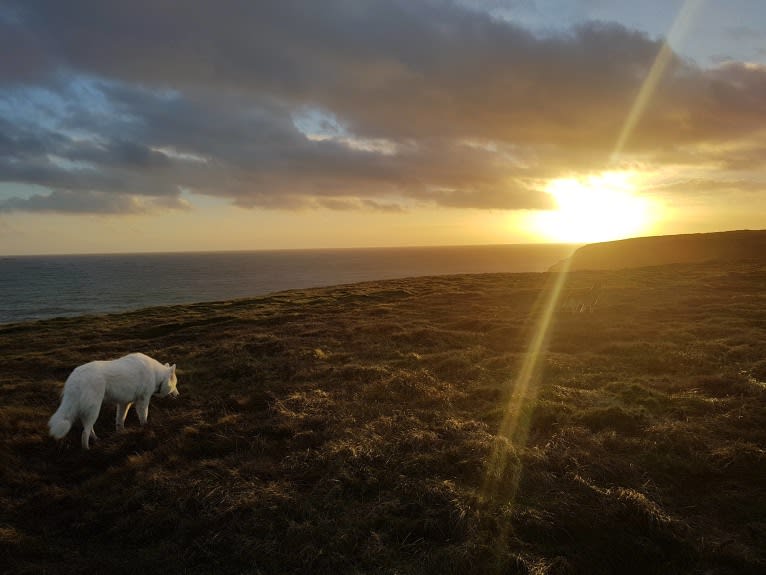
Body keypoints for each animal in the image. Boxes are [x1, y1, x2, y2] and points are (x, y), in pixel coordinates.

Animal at [48, 352, 180, 450]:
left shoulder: (124, 403)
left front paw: (120, 434)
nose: (179, 395)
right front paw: (146, 428)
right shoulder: (143, 401)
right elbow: (144, 417)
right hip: (94, 410)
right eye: (176, 385)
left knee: (87, 428)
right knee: (85, 433)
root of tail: (75, 379)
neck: (157, 375)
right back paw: (88, 449)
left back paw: (96, 440)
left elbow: (120, 420)